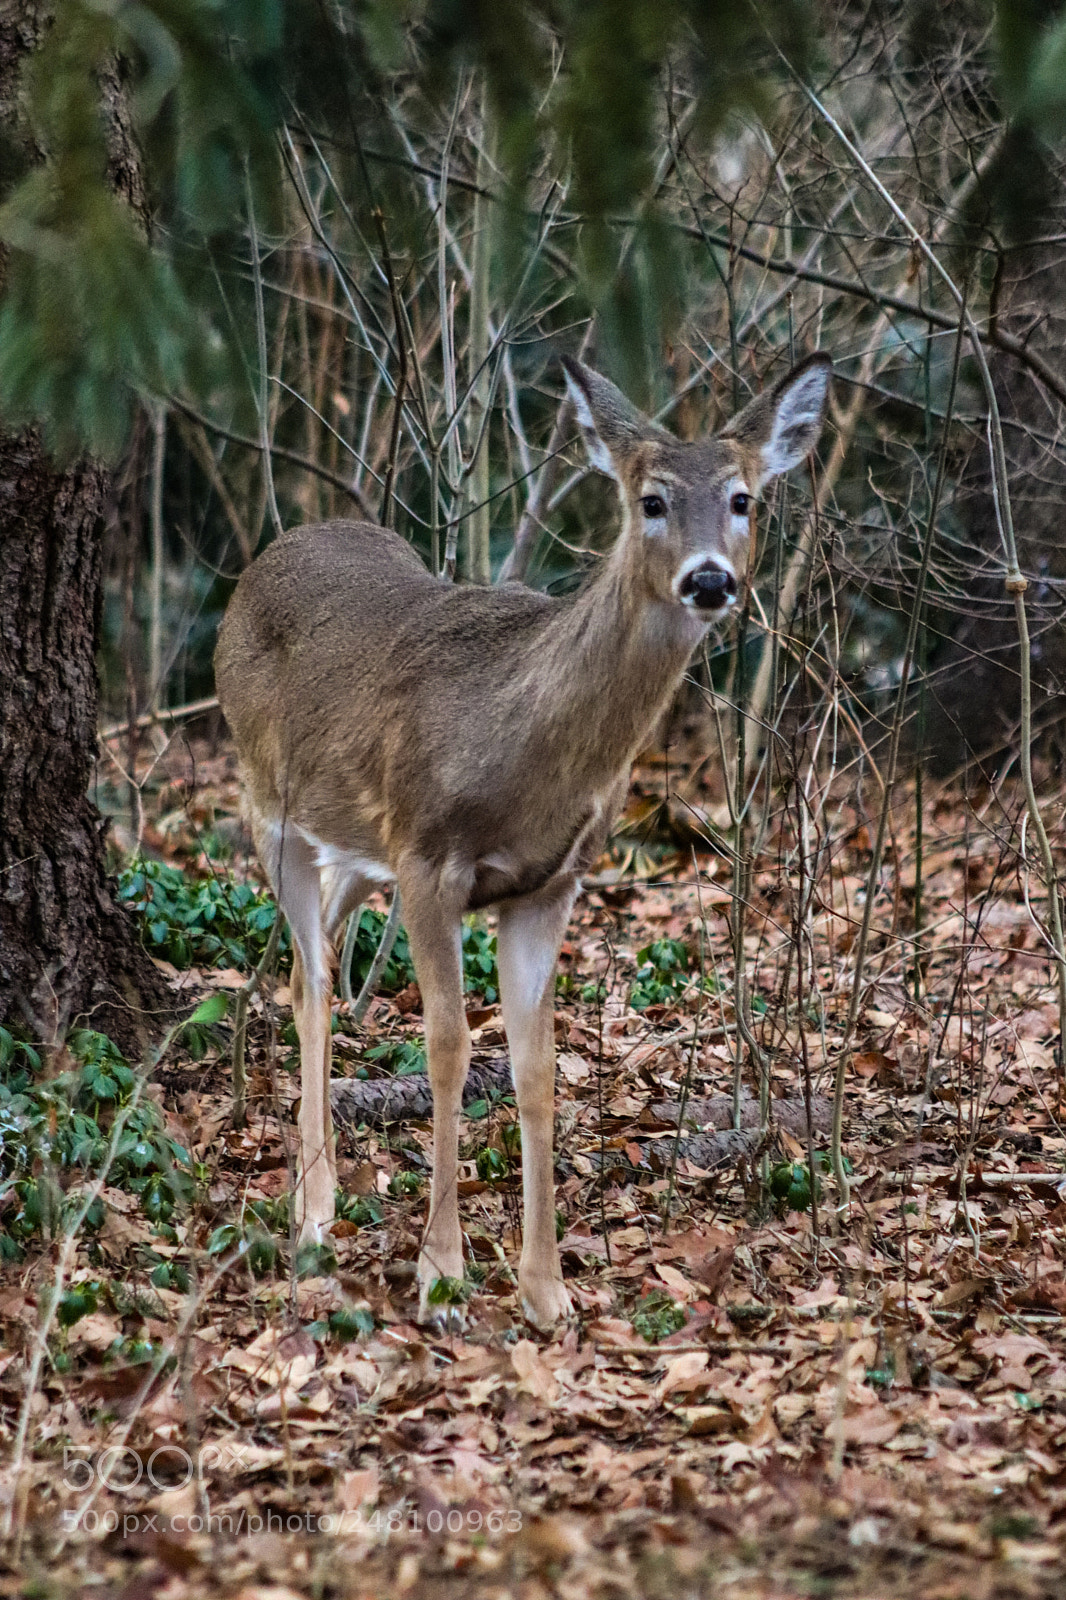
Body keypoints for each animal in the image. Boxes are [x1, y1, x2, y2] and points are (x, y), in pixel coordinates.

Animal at [214, 351, 832, 1329]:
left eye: (743, 498)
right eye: (651, 499)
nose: (708, 581)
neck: (528, 752)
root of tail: (269, 556)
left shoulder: (548, 885)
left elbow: (538, 1069)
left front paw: (546, 1290)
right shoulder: (429, 857)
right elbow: (448, 1049)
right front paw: (441, 1275)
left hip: (354, 846)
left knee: (323, 961)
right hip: (268, 804)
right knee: (308, 982)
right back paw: (310, 1212)